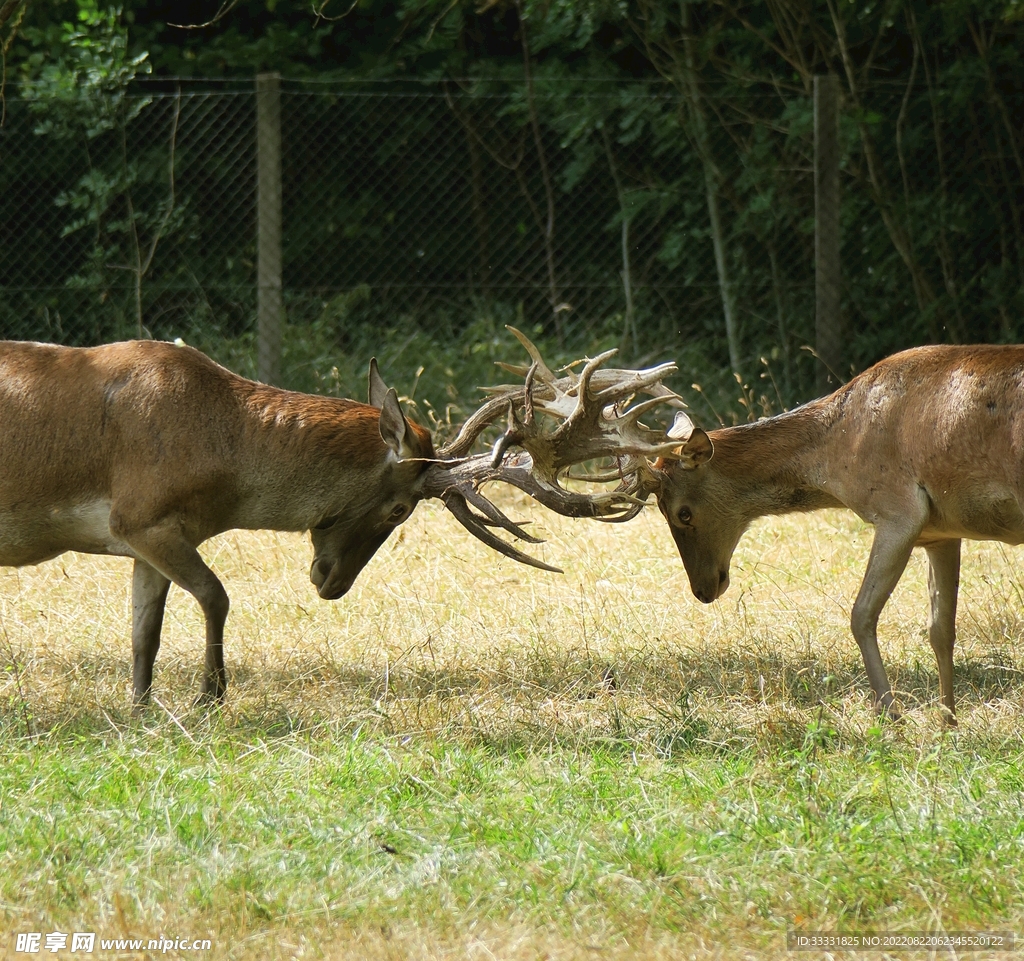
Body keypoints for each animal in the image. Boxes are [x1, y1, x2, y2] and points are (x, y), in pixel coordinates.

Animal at [0, 333, 680, 706]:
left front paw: (143, 711)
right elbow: (217, 595)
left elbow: (145, 636)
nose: (331, 582)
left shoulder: (146, 533)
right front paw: (210, 697)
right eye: (400, 507)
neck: (220, 462)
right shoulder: (141, 514)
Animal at [636, 343, 1024, 726]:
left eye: (683, 512)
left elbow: (861, 615)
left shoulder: (898, 511)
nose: (702, 590)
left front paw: (890, 713)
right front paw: (947, 724)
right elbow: (940, 629)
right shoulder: (940, 532)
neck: (837, 457)